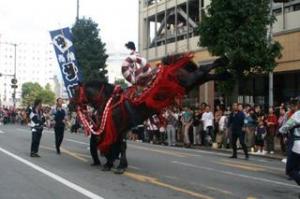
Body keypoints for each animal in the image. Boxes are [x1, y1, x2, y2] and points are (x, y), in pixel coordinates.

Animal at [69, 52, 230, 174]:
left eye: (75, 91)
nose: (70, 105)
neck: (109, 101)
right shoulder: (122, 129)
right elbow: (121, 146)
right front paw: (118, 164)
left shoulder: (117, 127)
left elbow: (118, 146)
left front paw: (114, 165)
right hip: (191, 83)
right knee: (205, 74)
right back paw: (224, 72)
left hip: (188, 81)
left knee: (203, 70)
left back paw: (222, 61)